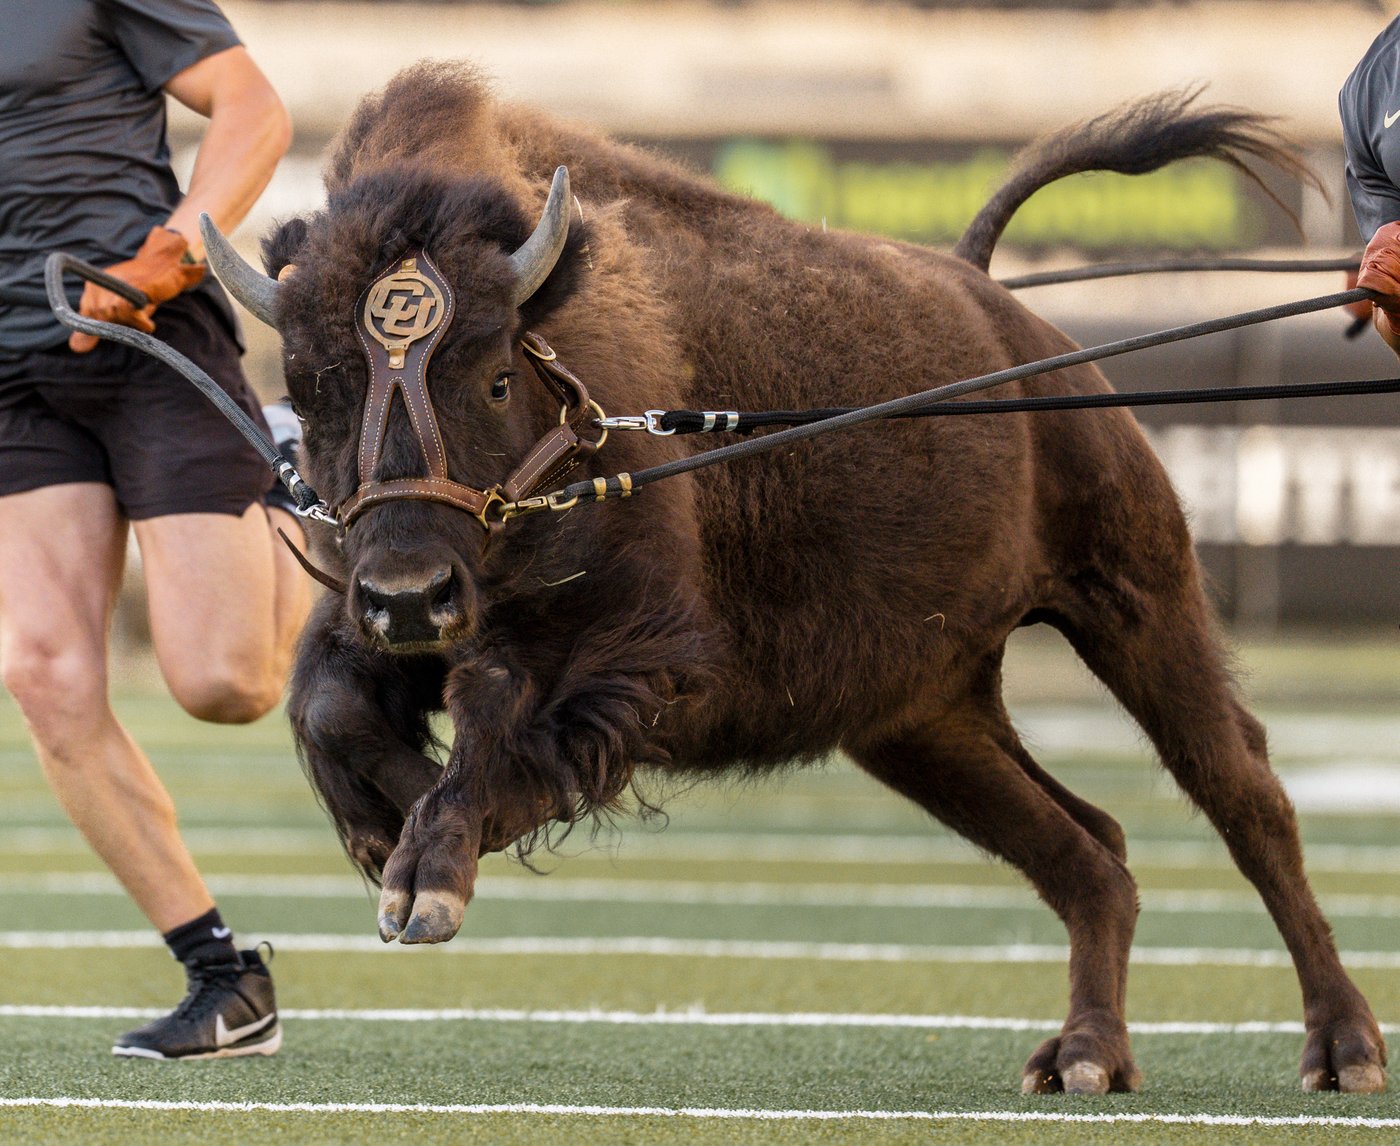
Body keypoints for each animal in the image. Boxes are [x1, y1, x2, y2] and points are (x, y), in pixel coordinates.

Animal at [203, 63, 1385, 1095]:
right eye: (308, 387)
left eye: (493, 375)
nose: (409, 593)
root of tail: (1000, 309)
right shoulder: (374, 619)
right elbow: (335, 709)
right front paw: (396, 836)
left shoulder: (628, 654)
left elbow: (503, 726)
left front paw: (430, 875)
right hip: (922, 720)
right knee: (1086, 848)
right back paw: (1084, 1058)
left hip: (1135, 602)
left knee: (1245, 799)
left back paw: (1341, 1050)